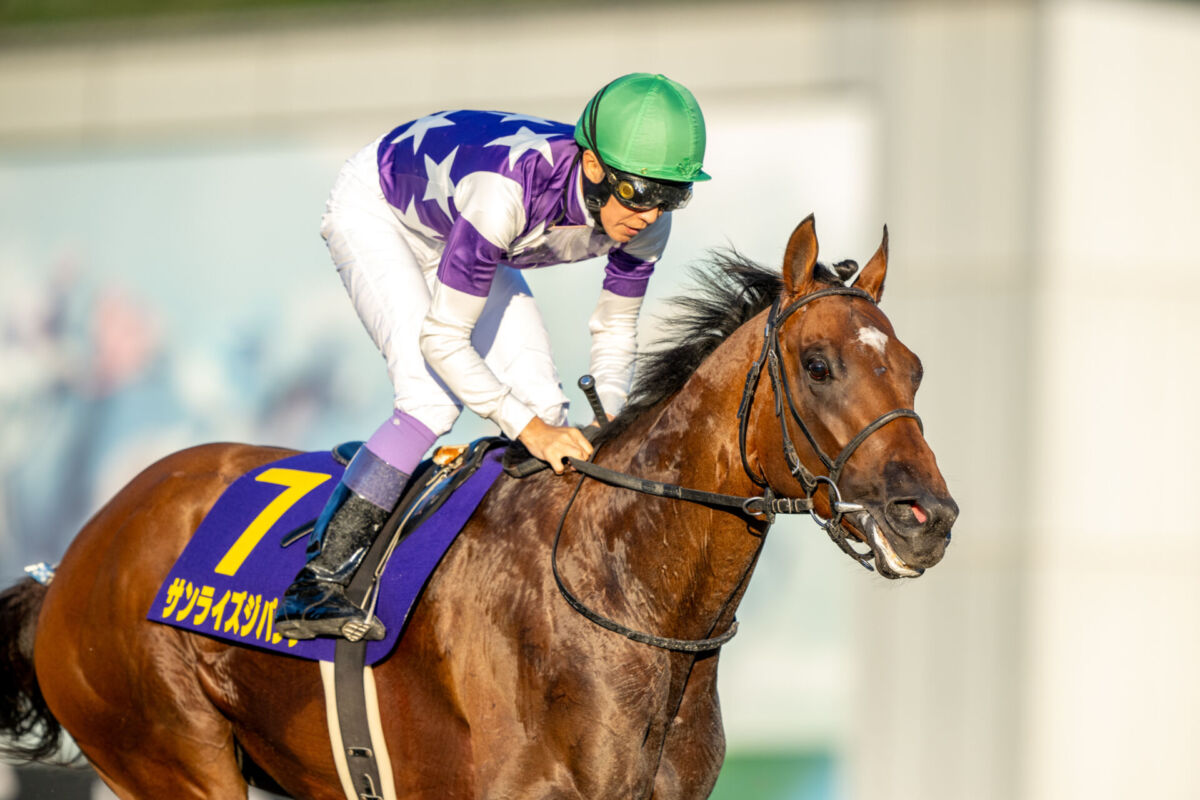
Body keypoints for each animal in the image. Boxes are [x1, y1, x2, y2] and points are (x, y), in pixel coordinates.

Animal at [0, 215, 957, 799]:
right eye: (819, 363)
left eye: (913, 368)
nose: (927, 517)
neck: (625, 595)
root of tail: (75, 559)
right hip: (170, 754)